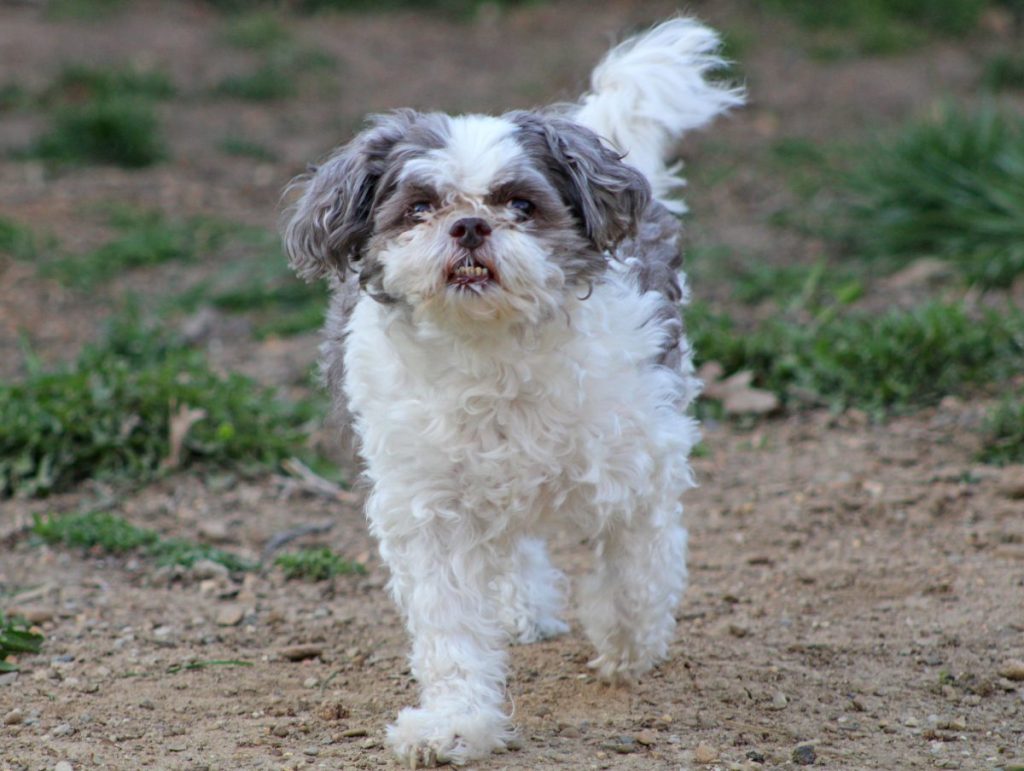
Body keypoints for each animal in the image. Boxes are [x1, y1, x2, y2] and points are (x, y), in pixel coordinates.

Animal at [284, 16, 741, 765]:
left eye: (521, 204)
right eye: (420, 207)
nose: (470, 224)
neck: (492, 356)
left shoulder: (638, 464)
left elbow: (636, 571)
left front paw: (627, 647)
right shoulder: (429, 508)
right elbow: (450, 635)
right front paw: (455, 723)